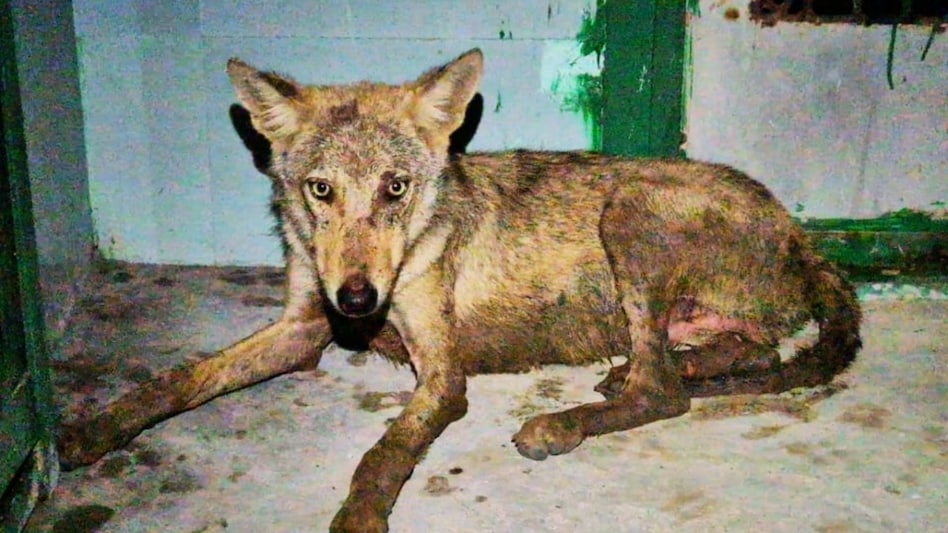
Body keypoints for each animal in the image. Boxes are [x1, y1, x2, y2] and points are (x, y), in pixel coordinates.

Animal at [58, 49, 860, 532]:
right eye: (320, 189)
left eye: (395, 187)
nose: (357, 301)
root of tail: (801, 234)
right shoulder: (303, 327)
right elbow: (182, 378)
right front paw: (97, 427)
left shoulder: (443, 376)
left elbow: (382, 453)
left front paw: (358, 515)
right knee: (735, 356)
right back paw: (650, 370)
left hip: (628, 207)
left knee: (666, 390)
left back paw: (562, 421)